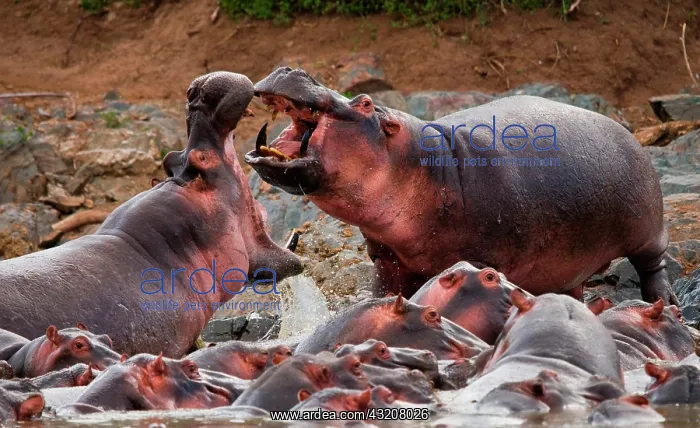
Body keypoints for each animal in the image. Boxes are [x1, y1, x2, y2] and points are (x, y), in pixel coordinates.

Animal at [245, 67, 676, 305]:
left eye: (365, 102)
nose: (291, 68)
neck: (427, 167)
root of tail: (627, 131)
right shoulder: (387, 257)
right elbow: (383, 292)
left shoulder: (484, 256)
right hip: (566, 266)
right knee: (571, 287)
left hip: (647, 227)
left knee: (652, 263)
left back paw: (664, 301)